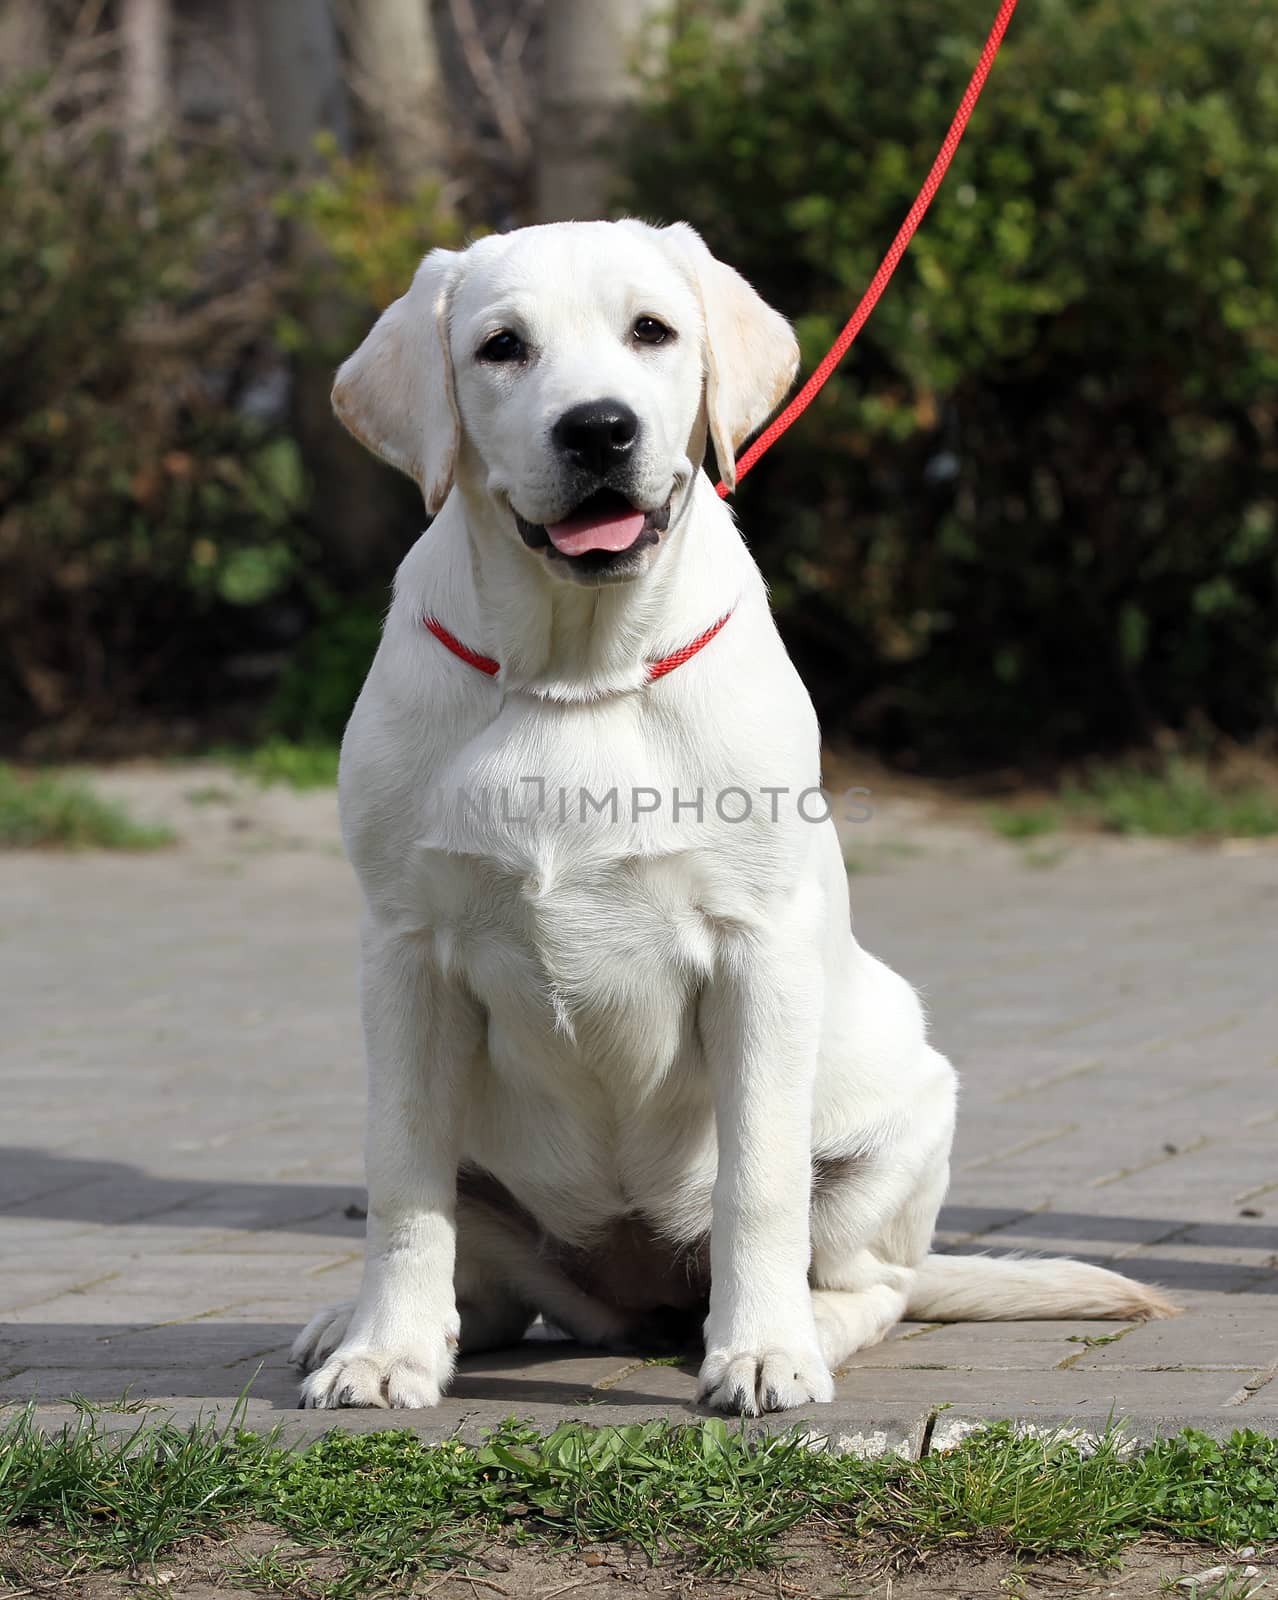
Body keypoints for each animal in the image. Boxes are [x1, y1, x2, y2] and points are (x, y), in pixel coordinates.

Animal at [294, 222, 1177, 1414]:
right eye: (501, 346)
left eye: (652, 331)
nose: (599, 427)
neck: (579, 672)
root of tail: (634, 1297)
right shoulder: (403, 951)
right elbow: (401, 1182)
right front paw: (383, 1353)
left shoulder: (757, 949)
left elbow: (757, 1181)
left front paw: (760, 1352)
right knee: (488, 1285)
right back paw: (372, 1328)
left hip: (902, 1116)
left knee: (871, 1282)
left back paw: (801, 1329)